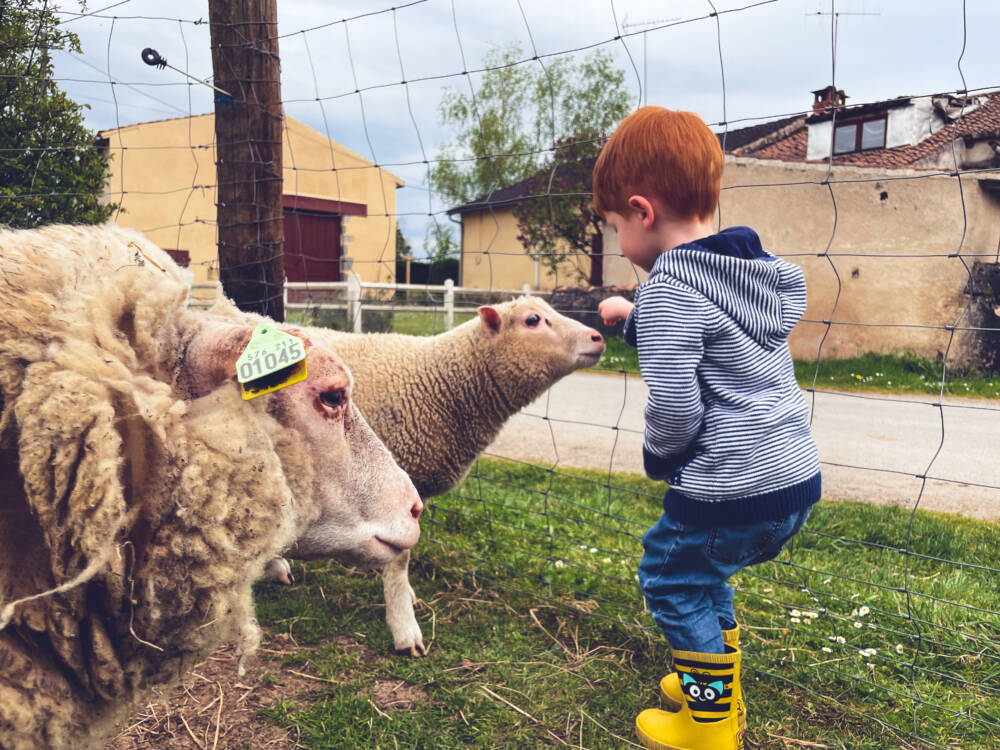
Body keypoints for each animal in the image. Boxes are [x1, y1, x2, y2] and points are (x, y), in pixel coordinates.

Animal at [250, 296, 604, 656]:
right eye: (533, 320)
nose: (598, 337)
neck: (439, 383)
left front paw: (405, 595)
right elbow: (400, 558)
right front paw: (405, 628)